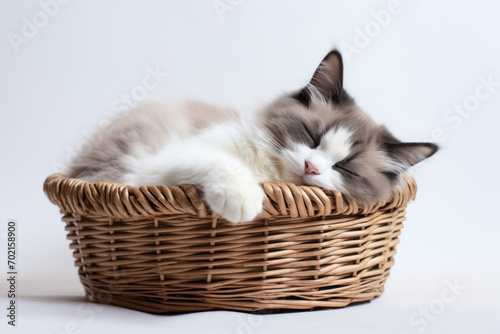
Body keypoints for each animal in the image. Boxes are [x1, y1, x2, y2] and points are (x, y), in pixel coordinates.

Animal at [67, 49, 438, 223]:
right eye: (311, 137)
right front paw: (244, 200)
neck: (270, 175)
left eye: (345, 167)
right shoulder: (152, 168)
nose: (311, 167)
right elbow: (225, 163)